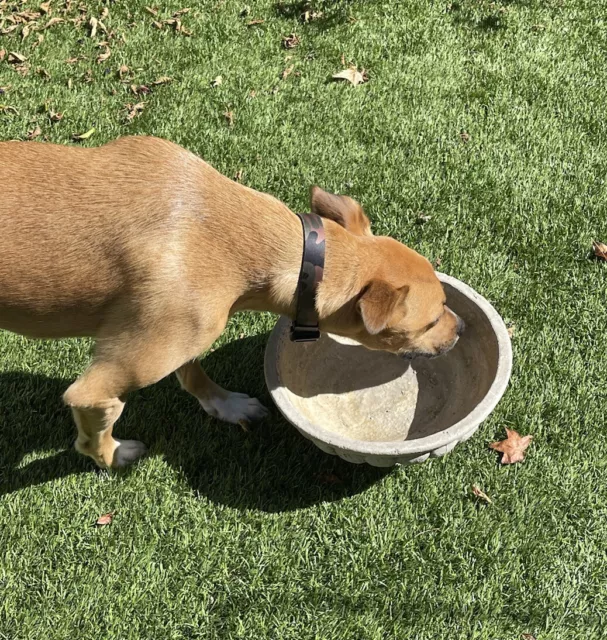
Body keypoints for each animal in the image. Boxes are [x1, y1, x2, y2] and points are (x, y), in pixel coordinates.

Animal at [1, 136, 466, 470]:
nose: (461, 328)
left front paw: (224, 404)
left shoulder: (185, 331)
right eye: (429, 323)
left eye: (446, 306)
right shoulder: (98, 389)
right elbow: (95, 428)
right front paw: (113, 457)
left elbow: (192, 371)